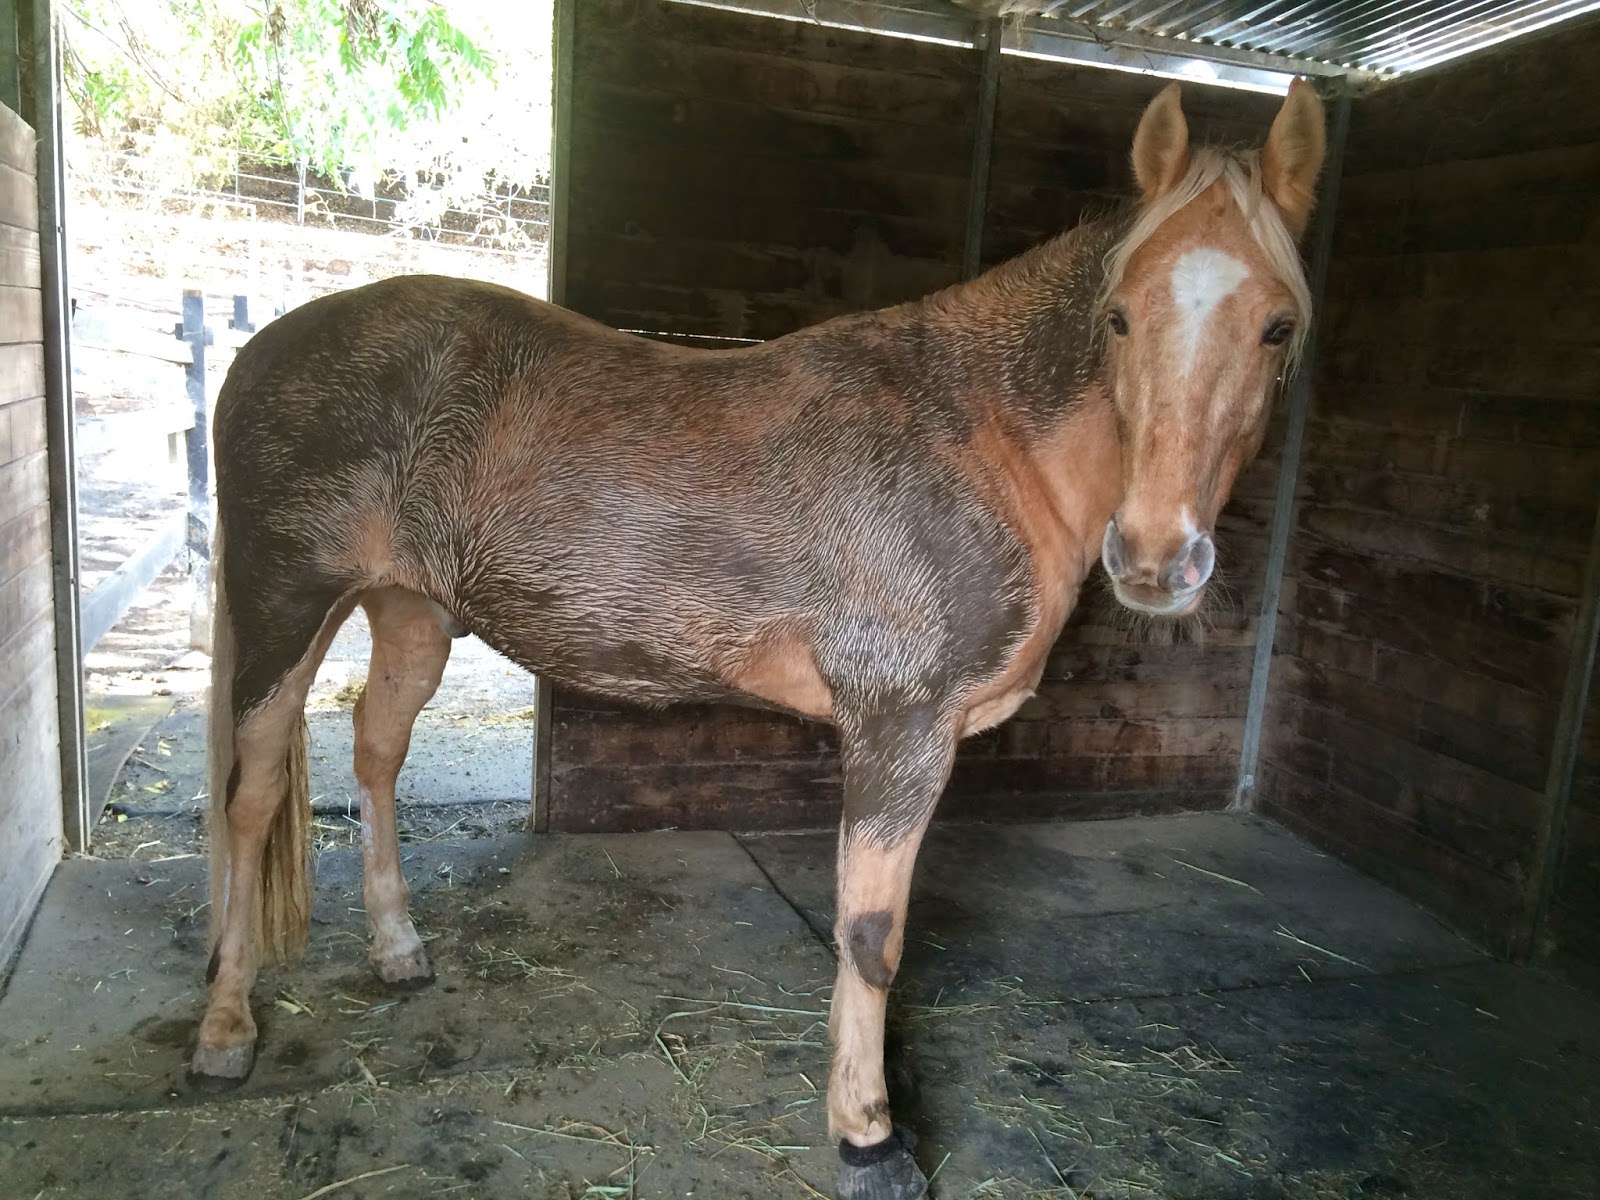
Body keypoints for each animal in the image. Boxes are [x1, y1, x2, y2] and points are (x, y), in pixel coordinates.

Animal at [191, 79, 1326, 1200]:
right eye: (1119, 318)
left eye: (1278, 328)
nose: (1156, 557)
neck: (984, 439)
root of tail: (261, 352)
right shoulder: (899, 729)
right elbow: (872, 935)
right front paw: (868, 1138)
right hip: (288, 607)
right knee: (251, 797)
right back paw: (226, 1024)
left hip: (411, 612)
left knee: (376, 750)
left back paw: (395, 948)